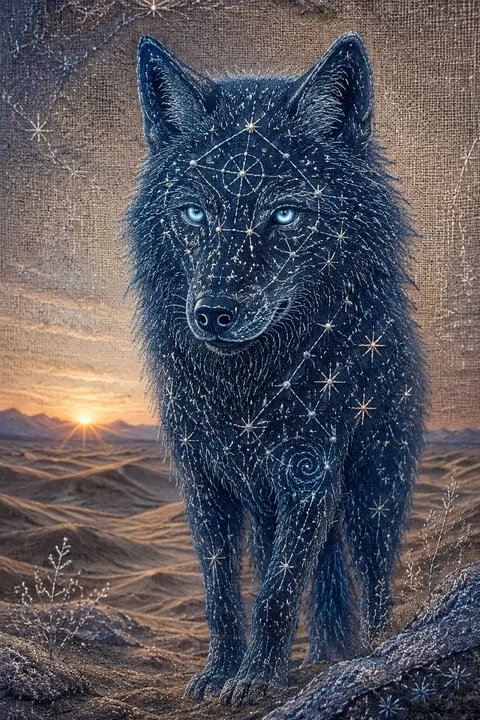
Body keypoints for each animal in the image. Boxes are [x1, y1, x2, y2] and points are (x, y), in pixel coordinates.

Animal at [126, 32, 428, 707]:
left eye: (284, 216)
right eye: (194, 214)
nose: (213, 314)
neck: (246, 386)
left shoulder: (309, 473)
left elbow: (279, 593)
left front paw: (258, 680)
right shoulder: (202, 481)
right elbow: (223, 594)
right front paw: (222, 673)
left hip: (372, 492)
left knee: (372, 577)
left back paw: (369, 652)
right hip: (269, 512)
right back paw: (319, 658)